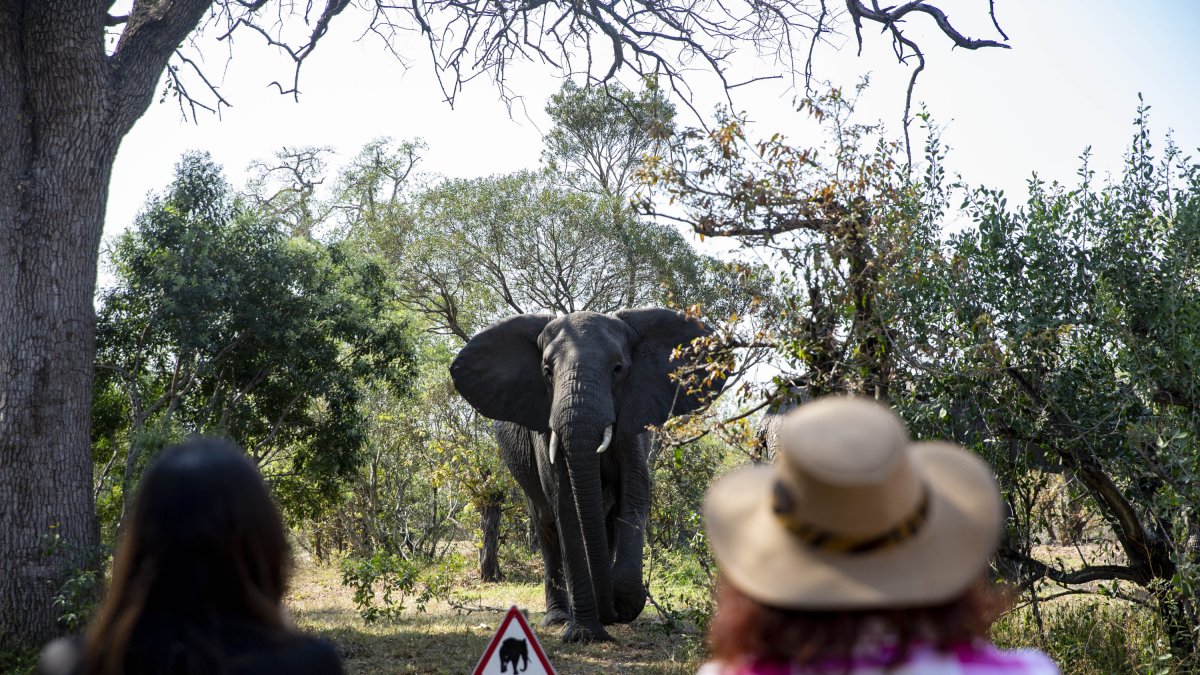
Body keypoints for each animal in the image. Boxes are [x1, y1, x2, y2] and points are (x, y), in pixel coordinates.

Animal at [448, 307, 715, 638]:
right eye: (547, 371)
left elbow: (634, 492)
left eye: (618, 369)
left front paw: (623, 599)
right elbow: (565, 505)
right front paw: (585, 634)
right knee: (546, 525)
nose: (612, 613)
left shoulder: (634, 420)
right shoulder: (545, 427)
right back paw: (560, 617)